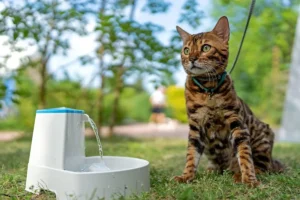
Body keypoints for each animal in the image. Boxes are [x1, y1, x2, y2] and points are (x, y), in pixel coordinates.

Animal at [173, 15, 284, 186]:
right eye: (186, 50)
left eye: (206, 48)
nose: (191, 58)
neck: (208, 89)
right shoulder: (195, 126)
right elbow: (191, 155)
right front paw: (186, 176)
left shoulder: (237, 124)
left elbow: (245, 155)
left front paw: (249, 179)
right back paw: (212, 170)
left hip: (262, 136)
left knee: (264, 167)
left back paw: (239, 174)